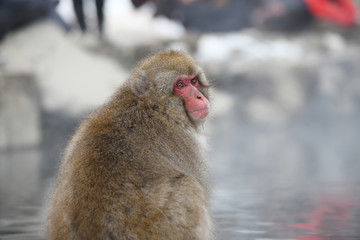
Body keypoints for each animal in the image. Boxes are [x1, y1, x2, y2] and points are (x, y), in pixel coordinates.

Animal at [46, 49, 212, 239]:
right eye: (181, 85)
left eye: (194, 81)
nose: (199, 96)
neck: (153, 106)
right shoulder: (187, 143)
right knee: (188, 188)